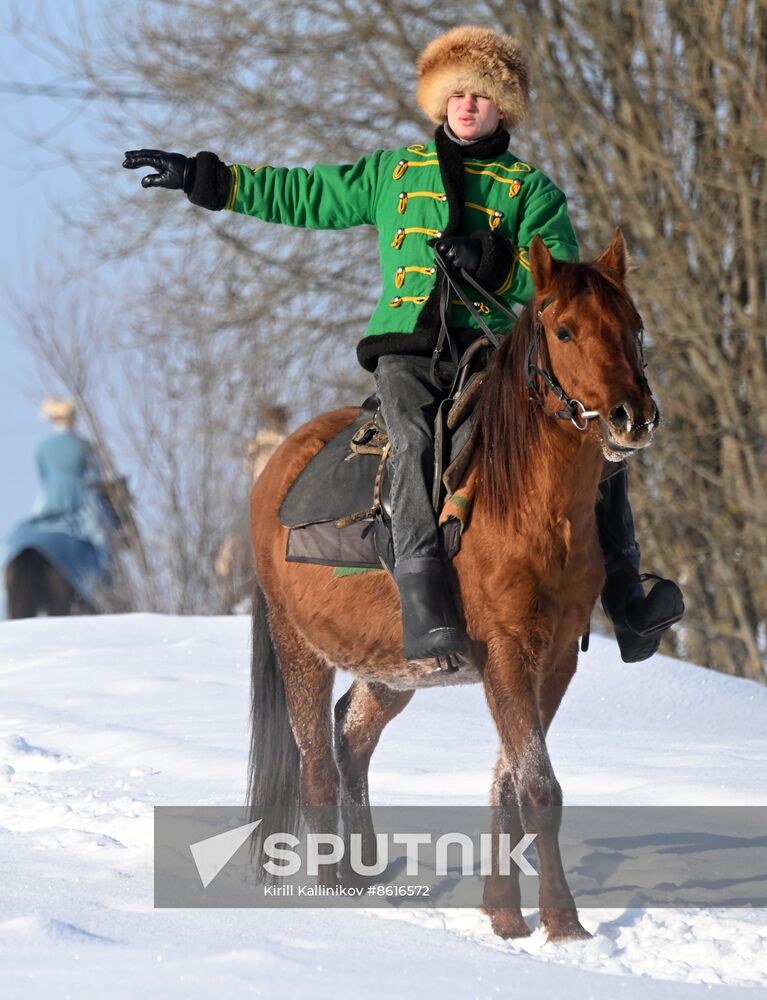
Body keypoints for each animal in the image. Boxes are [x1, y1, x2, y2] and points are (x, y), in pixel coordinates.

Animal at [249, 230, 656, 940]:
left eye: (633, 327)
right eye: (566, 331)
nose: (633, 417)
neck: (529, 506)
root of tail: (275, 468)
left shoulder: (553, 661)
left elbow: (510, 785)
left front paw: (506, 917)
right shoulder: (507, 654)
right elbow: (539, 786)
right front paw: (565, 924)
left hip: (392, 668)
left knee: (351, 742)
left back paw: (363, 881)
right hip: (299, 648)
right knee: (318, 768)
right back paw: (331, 900)